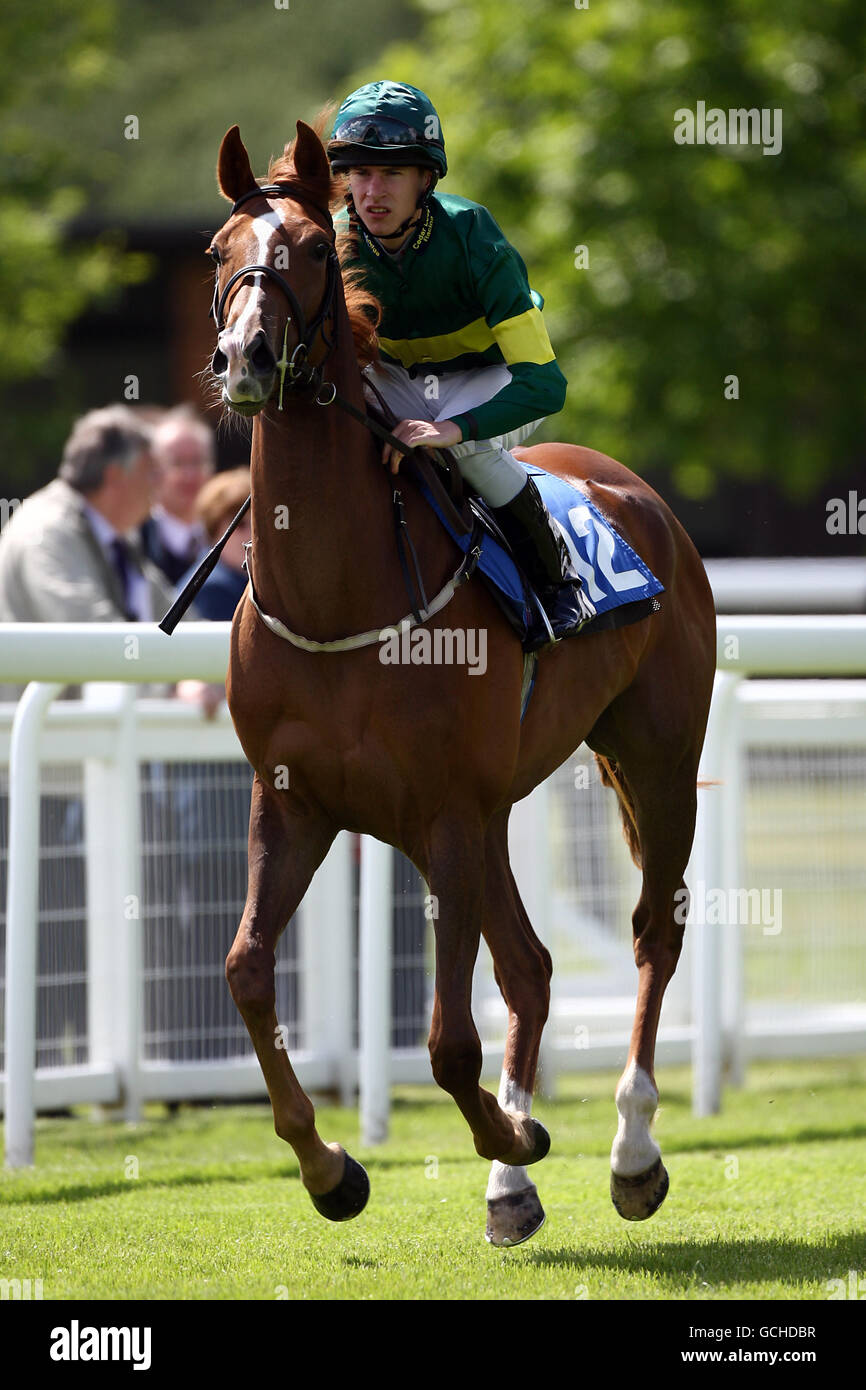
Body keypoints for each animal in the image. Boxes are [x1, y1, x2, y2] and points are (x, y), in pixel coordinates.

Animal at [209, 122, 717, 1251]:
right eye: (221, 249)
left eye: (317, 247)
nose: (245, 358)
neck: (335, 596)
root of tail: (638, 492)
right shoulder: (293, 802)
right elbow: (247, 970)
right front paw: (331, 1169)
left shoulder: (442, 808)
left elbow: (447, 1041)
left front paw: (517, 1136)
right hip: (491, 810)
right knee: (530, 965)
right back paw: (512, 1180)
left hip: (652, 758)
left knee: (651, 932)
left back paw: (629, 1151)